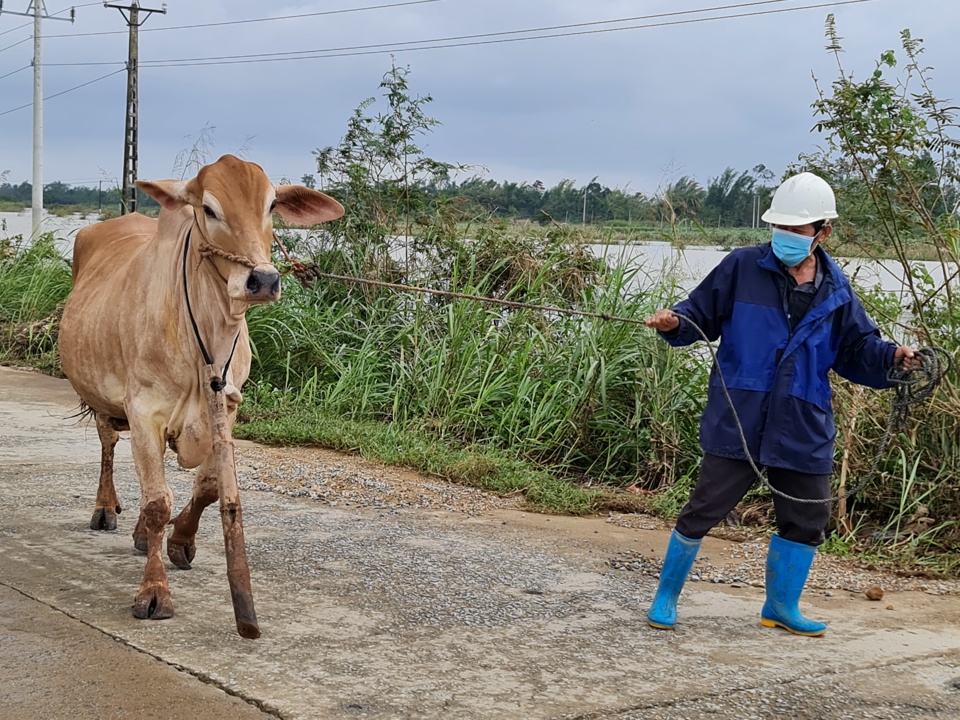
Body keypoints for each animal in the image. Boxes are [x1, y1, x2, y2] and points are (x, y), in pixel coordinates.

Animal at [60, 155, 344, 640]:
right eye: (209, 209)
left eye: (271, 206)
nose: (263, 280)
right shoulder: (143, 410)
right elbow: (158, 502)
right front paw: (155, 591)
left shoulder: (227, 405)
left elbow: (209, 487)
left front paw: (180, 541)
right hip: (101, 397)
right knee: (108, 445)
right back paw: (105, 508)